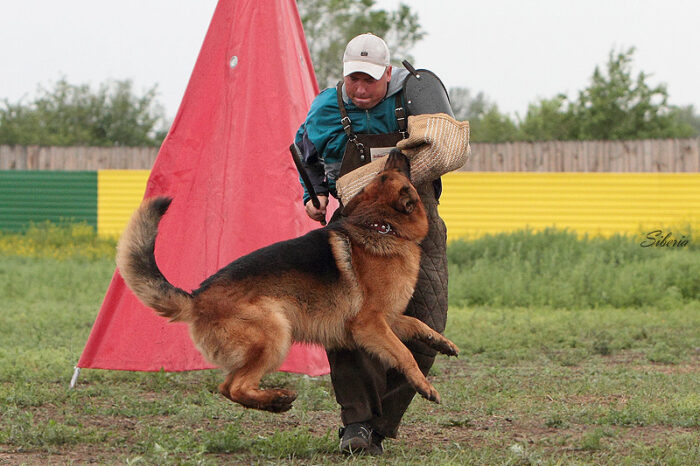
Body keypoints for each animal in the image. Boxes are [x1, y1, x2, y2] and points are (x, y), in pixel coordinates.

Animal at [116, 150, 460, 412]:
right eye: (393, 173)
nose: (396, 151)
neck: (382, 226)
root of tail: (197, 297)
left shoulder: (388, 320)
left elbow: (417, 324)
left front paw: (441, 342)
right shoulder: (370, 324)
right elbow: (403, 354)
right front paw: (424, 385)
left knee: (229, 386)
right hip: (275, 333)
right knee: (232, 386)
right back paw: (276, 400)